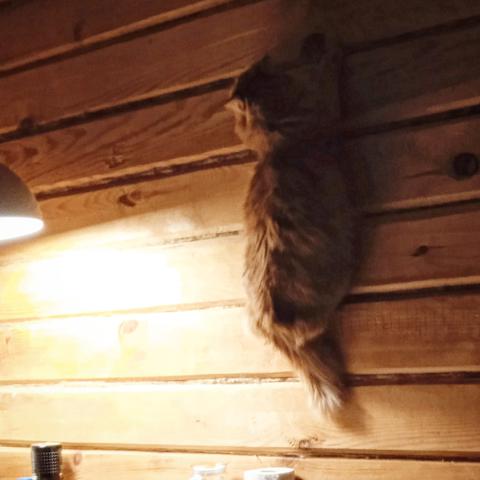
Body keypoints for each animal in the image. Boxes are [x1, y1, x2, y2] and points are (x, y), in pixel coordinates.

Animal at [226, 34, 359, 414]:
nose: (265, 58)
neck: (277, 143)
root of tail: (266, 325)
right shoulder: (323, 106)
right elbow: (326, 74)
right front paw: (328, 49)